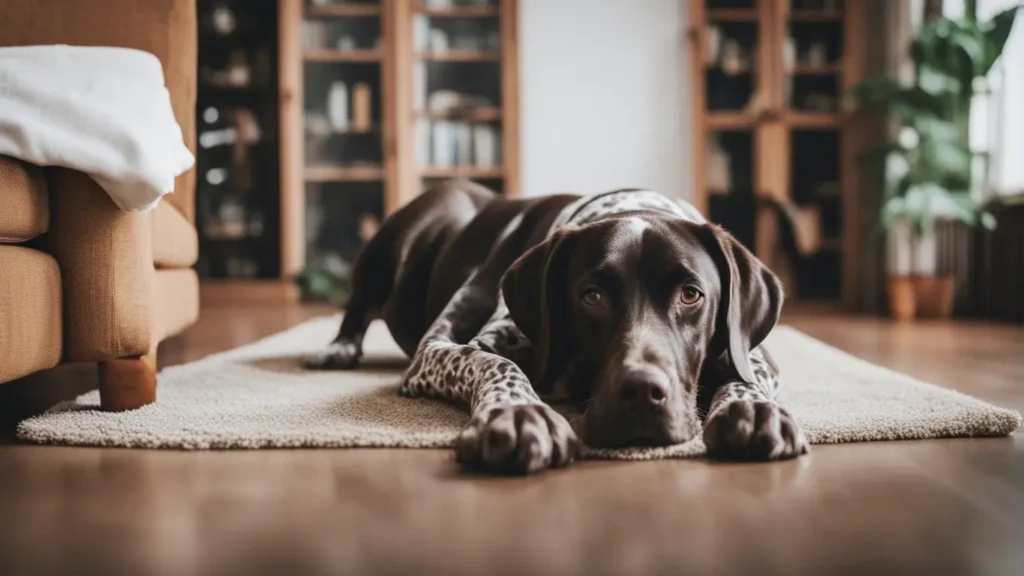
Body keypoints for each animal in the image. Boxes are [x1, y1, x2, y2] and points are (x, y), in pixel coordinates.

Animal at [305, 178, 806, 471]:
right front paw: (518, 414)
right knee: (357, 305)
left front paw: (752, 409)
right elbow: (497, 366)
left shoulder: (751, 352)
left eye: (690, 295)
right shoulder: (440, 351)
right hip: (397, 240)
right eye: (592, 296)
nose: (642, 392)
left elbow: (747, 376)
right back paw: (338, 348)